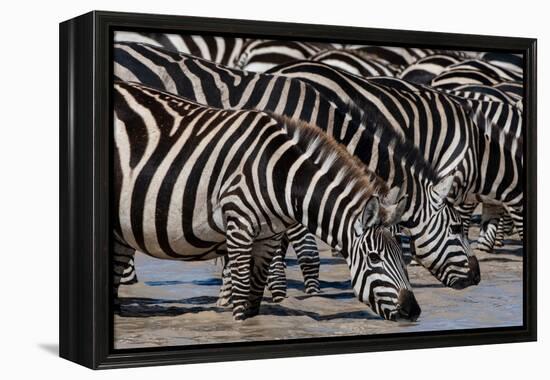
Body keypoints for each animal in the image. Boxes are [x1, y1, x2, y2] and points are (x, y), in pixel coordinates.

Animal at [114, 41, 480, 290]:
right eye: (456, 229)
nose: (477, 277)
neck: (325, 123)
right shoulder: (285, 175)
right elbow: (301, 247)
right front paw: (299, 293)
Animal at [114, 81, 420, 320]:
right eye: (374, 257)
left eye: (401, 255)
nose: (413, 311)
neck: (278, 176)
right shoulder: (238, 226)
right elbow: (240, 297)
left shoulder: (268, 237)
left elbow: (254, 299)